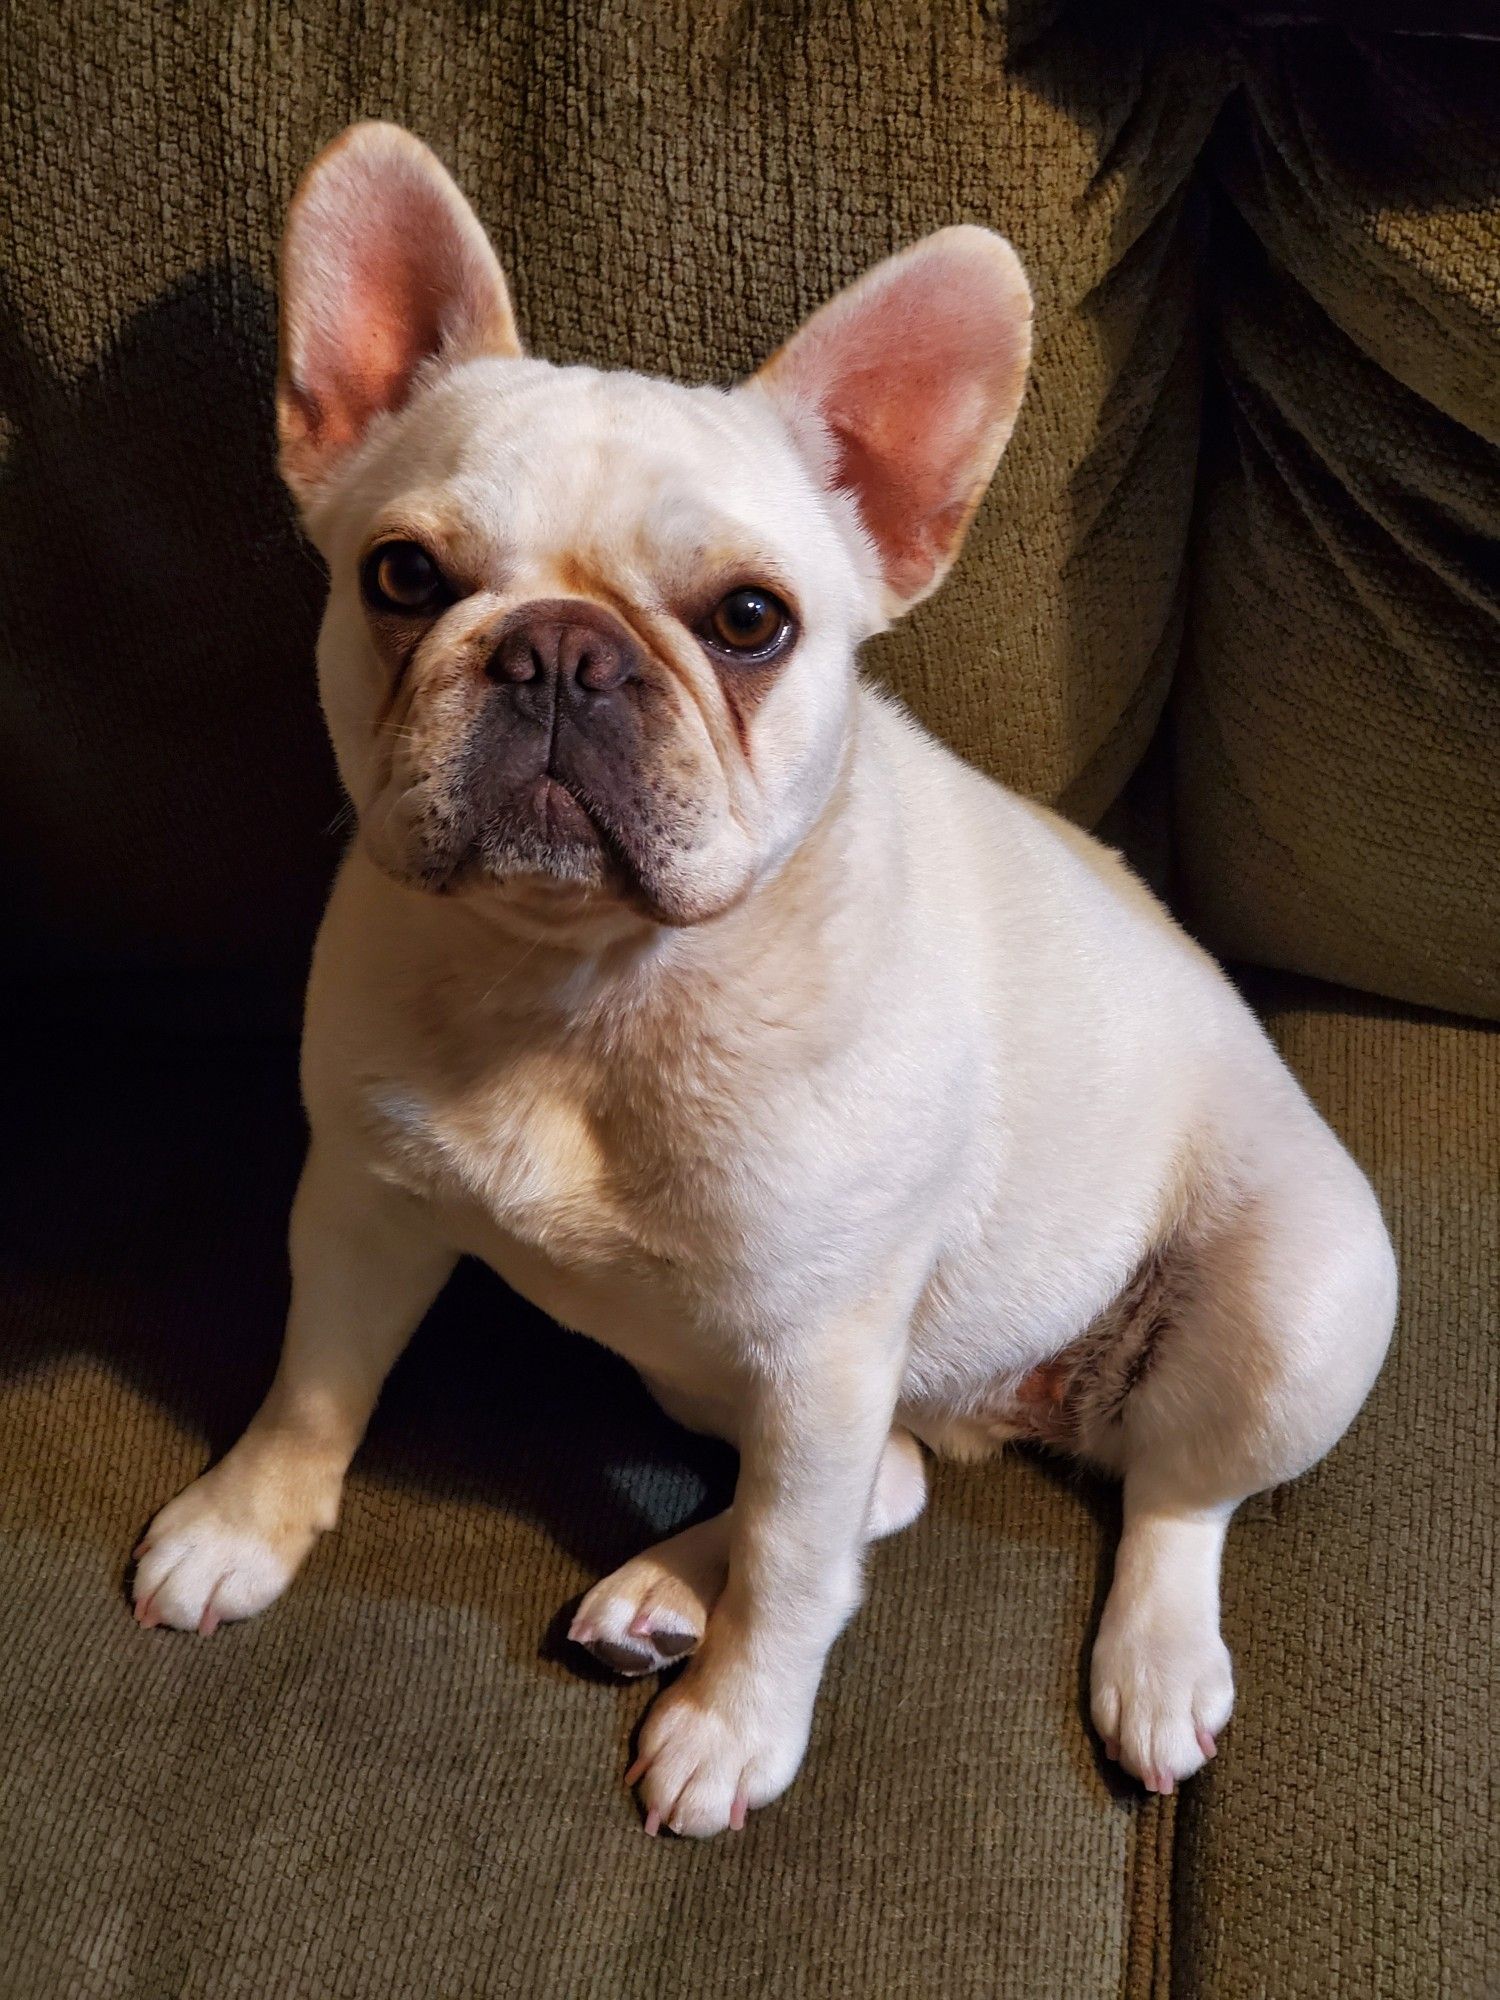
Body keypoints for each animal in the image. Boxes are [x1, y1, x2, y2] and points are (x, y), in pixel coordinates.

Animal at [129, 129, 1400, 1840]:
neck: (589, 987)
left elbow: (799, 1576)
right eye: (402, 575)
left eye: (750, 622)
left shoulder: (821, 1352)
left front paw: (738, 1728)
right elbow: (315, 1384)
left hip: (1293, 1308)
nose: (559, 651)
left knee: (1166, 1500)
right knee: (892, 1482)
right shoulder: (360, 1206)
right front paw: (243, 1525)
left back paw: (1149, 1663)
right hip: (710, 1374)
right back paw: (670, 1584)